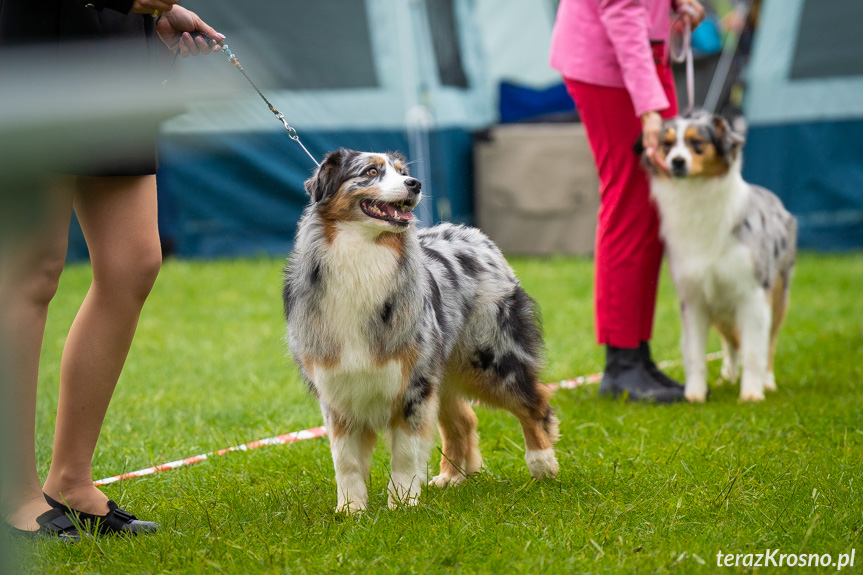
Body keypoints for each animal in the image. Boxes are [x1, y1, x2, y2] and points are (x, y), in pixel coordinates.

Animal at [284, 148, 560, 512]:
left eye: (403, 172)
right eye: (370, 172)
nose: (415, 184)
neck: (362, 255)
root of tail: (474, 234)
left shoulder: (413, 385)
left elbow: (405, 452)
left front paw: (402, 504)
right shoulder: (337, 388)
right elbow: (345, 460)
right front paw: (350, 510)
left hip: (489, 358)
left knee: (535, 400)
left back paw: (543, 464)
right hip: (444, 371)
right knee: (464, 420)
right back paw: (453, 477)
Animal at [640, 111, 796, 400]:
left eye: (697, 142)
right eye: (667, 144)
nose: (677, 162)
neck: (697, 198)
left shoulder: (752, 293)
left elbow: (755, 350)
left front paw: (751, 394)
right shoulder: (694, 298)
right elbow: (694, 354)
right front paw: (694, 396)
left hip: (778, 294)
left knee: (768, 341)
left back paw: (767, 381)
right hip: (720, 302)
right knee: (732, 340)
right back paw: (729, 374)